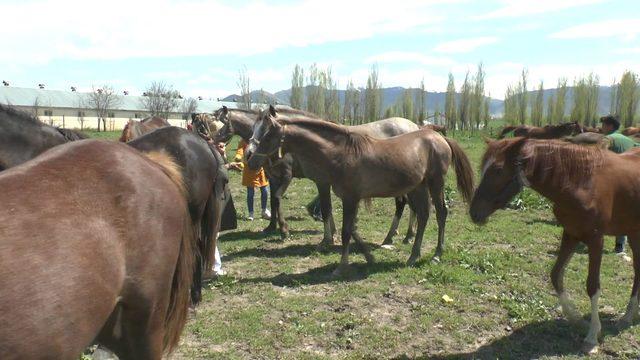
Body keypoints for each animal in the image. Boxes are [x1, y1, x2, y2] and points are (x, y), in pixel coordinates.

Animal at [208, 105, 422, 246]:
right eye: (254, 127)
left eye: (221, 124)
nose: (249, 155)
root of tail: (414, 127)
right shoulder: (278, 177)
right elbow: (276, 202)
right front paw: (272, 226)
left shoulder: (295, 177)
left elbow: (282, 199)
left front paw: (286, 231)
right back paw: (407, 235)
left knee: (404, 204)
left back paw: (397, 235)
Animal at [245, 105, 476, 274]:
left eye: (267, 136)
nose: (250, 159)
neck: (341, 154)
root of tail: (440, 138)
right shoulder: (350, 198)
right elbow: (351, 228)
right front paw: (368, 257)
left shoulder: (349, 197)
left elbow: (347, 230)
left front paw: (341, 267)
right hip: (418, 187)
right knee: (423, 214)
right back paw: (412, 254)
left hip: (435, 183)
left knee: (441, 213)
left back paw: (436, 254)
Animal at [468, 136, 640, 352]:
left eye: (498, 170)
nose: (474, 213)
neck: (582, 183)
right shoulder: (571, 234)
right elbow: (556, 275)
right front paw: (577, 319)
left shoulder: (595, 239)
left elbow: (593, 286)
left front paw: (592, 335)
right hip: (633, 233)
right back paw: (629, 316)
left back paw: (628, 316)